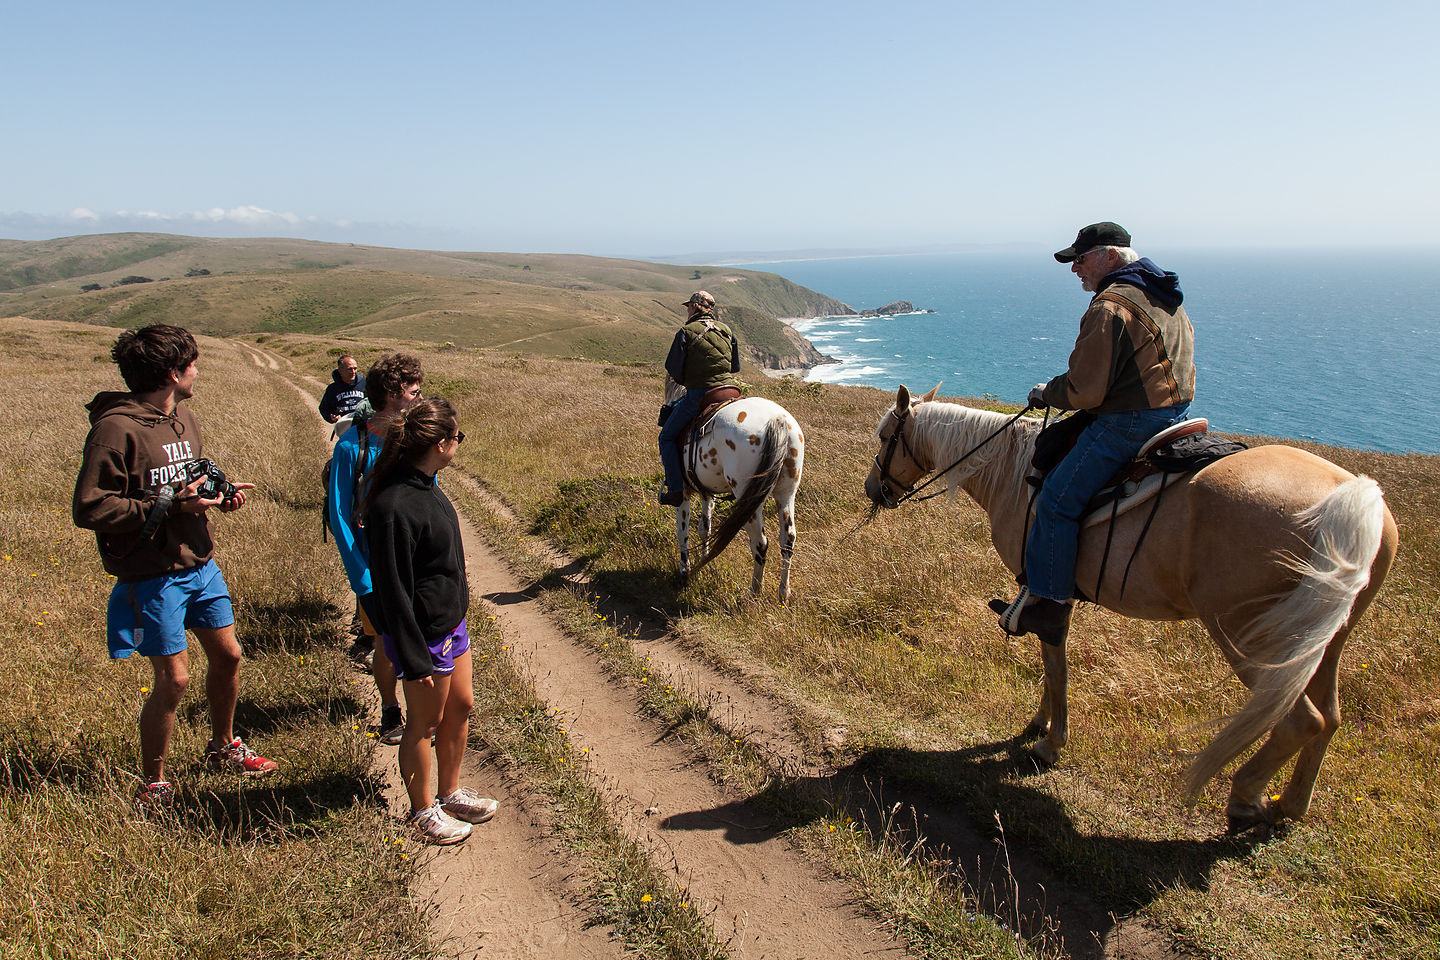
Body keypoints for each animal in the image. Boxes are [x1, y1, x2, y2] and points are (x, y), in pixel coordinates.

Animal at [659, 379, 806, 595]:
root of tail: (778, 421)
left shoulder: (683, 492)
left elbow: (682, 532)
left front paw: (684, 572)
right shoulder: (707, 492)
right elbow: (704, 528)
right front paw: (704, 559)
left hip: (749, 499)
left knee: (760, 543)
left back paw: (754, 592)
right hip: (786, 493)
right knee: (787, 539)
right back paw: (783, 592)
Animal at [858, 385, 1399, 834]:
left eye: (886, 436)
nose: (872, 489)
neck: (1013, 471)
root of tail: (1351, 499)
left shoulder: (1042, 588)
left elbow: (1054, 660)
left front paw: (1050, 741)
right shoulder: (1052, 591)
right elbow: (1051, 661)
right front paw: (1040, 724)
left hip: (1251, 635)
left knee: (1299, 720)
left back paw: (1245, 798)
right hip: (1324, 639)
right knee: (1329, 717)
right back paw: (1290, 805)